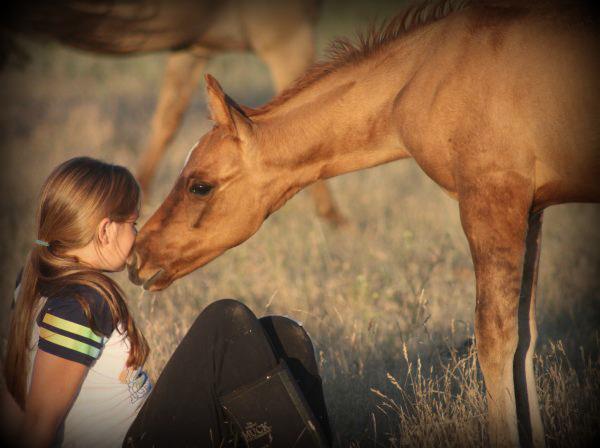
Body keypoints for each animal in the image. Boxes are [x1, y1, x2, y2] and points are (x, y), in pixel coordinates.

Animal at [129, 0, 596, 446]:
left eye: (200, 186)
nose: (137, 257)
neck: (427, 71)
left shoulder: (492, 197)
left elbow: (495, 339)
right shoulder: (531, 209)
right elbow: (524, 338)